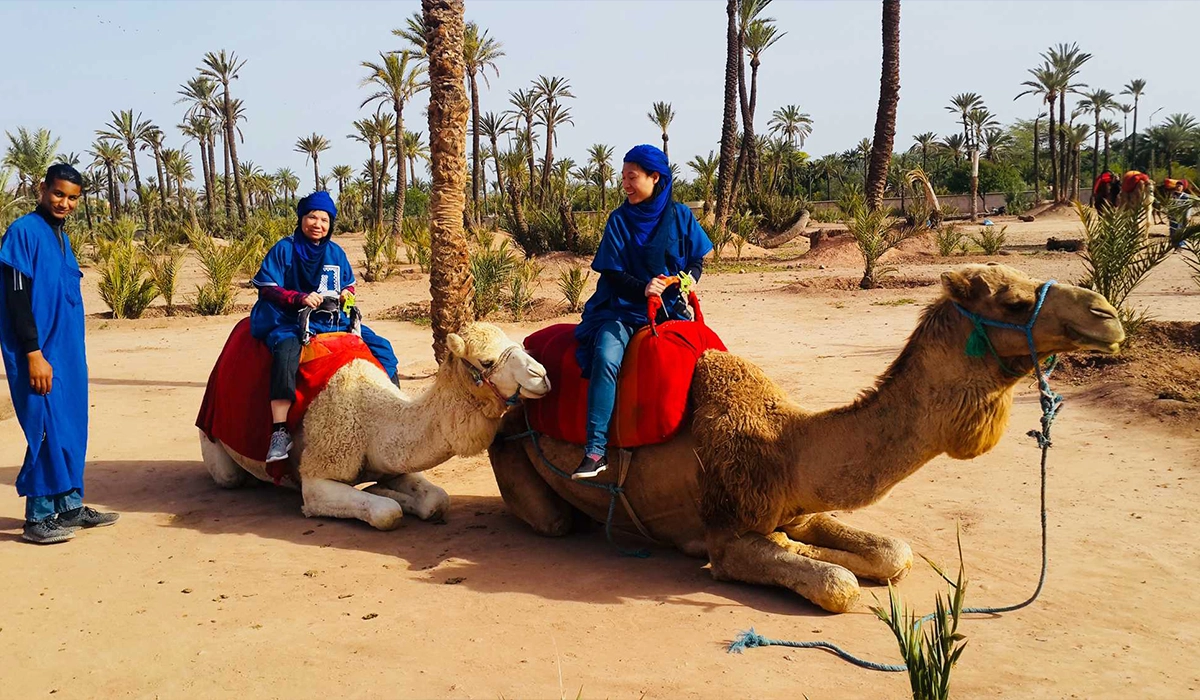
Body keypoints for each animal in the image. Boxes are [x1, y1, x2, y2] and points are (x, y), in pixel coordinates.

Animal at [200, 326, 549, 528]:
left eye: (517, 343)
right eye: (487, 361)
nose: (542, 375)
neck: (371, 421)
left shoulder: (392, 461)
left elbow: (437, 500)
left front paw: (384, 490)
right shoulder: (317, 476)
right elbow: (386, 513)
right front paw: (385, 498)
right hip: (213, 439)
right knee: (230, 476)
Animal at [487, 264, 1123, 614]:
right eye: (1013, 301)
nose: (1107, 314)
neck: (785, 446)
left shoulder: (801, 507)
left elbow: (893, 553)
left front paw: (839, 555)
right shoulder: (731, 533)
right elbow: (838, 584)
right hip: (512, 453)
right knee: (555, 519)